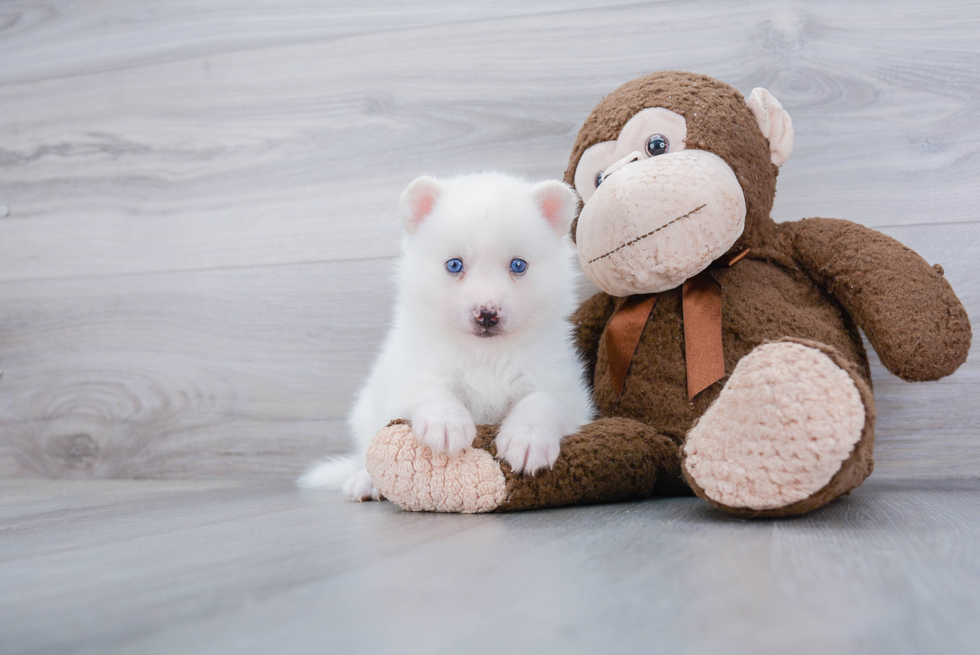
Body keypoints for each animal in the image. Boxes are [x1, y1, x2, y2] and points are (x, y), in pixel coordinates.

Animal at [298, 172, 592, 500]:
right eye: (454, 265)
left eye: (518, 265)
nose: (486, 313)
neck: (484, 354)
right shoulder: (411, 371)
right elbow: (430, 389)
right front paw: (447, 422)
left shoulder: (563, 386)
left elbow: (541, 401)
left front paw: (528, 438)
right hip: (364, 412)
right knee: (365, 452)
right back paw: (365, 481)